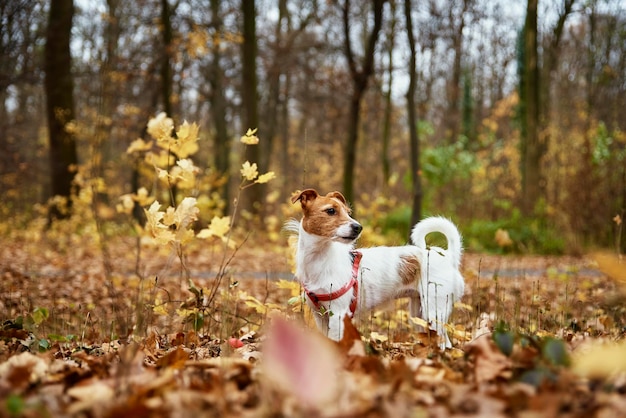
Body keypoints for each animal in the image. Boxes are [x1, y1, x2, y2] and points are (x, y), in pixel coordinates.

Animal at [288, 189, 464, 350]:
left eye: (348, 212)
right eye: (331, 210)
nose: (358, 227)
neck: (320, 259)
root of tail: (448, 256)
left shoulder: (338, 315)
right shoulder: (320, 316)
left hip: (434, 311)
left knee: (442, 341)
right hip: (419, 313)